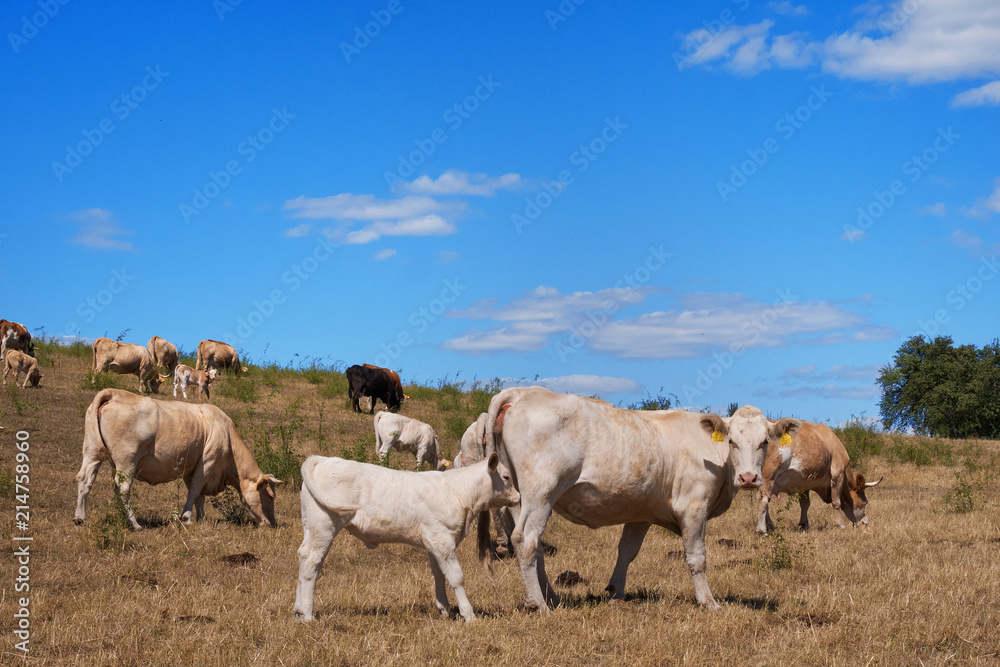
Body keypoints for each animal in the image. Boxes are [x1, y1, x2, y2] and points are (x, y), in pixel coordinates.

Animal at [73, 388, 282, 528]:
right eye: (270, 496)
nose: (271, 523)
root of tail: (114, 393)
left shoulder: (191, 468)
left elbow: (199, 496)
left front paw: (201, 519)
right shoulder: (207, 463)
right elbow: (195, 491)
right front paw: (186, 518)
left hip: (92, 452)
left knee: (85, 480)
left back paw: (80, 518)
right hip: (127, 461)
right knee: (122, 488)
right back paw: (134, 524)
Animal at [292, 452, 520, 624]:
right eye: (506, 477)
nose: (518, 497)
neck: (458, 492)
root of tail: (322, 459)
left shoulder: (433, 542)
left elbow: (439, 574)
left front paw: (445, 609)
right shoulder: (442, 539)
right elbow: (456, 577)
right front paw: (469, 614)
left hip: (311, 527)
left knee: (304, 557)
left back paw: (298, 611)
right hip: (324, 526)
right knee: (312, 562)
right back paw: (308, 615)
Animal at [480, 388, 800, 612]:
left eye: (764, 442)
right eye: (732, 441)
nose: (749, 478)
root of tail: (521, 392)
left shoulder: (641, 513)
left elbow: (627, 552)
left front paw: (617, 593)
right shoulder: (693, 508)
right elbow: (697, 557)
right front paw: (708, 601)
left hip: (520, 497)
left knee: (534, 546)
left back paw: (552, 597)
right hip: (541, 491)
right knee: (526, 539)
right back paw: (539, 604)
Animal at [756, 420, 884, 536]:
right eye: (865, 502)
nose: (865, 523)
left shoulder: (804, 482)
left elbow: (805, 504)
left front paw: (804, 525)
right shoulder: (837, 473)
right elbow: (836, 501)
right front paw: (840, 524)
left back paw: (771, 527)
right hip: (768, 475)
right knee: (763, 500)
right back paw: (762, 530)